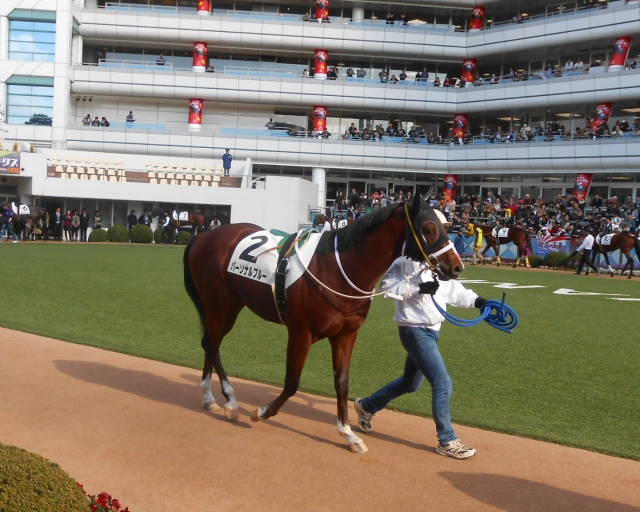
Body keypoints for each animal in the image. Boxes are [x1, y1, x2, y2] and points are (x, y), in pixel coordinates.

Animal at [183, 195, 463, 453]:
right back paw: (230, 401)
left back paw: (209, 397)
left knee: (210, 343)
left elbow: (342, 382)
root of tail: (205, 236)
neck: (337, 269)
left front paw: (348, 434)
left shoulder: (345, 335)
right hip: (218, 303)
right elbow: (292, 382)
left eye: (445, 226)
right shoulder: (300, 333)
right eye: (429, 228)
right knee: (212, 344)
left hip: (232, 305)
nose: (457, 267)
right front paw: (262, 412)